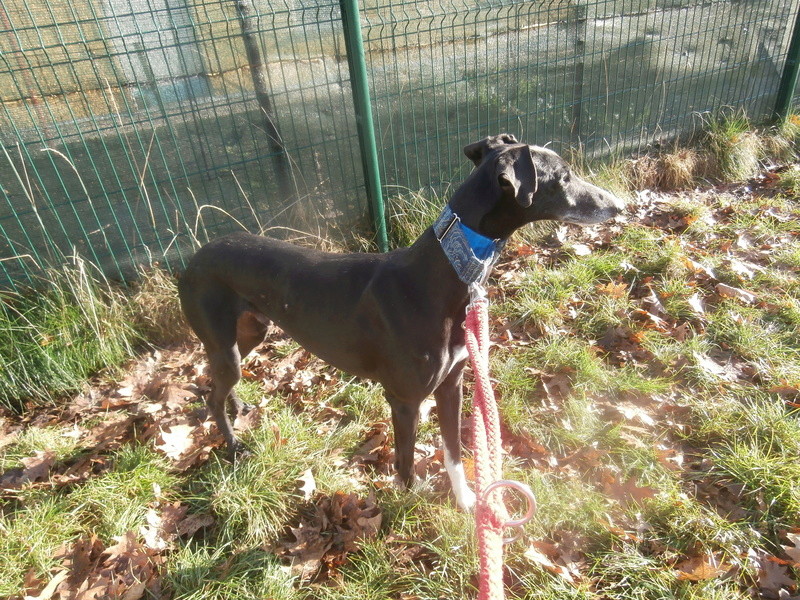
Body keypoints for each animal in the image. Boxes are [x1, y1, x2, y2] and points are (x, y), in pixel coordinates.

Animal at [178, 134, 620, 508]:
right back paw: (233, 445)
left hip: (250, 331)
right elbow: (405, 464)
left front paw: (466, 503)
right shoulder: (405, 400)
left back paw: (239, 406)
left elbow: (453, 450)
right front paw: (406, 507)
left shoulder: (452, 384)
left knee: (221, 382)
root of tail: (194, 258)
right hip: (224, 343)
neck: (444, 272)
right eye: (563, 176)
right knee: (212, 395)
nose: (618, 206)